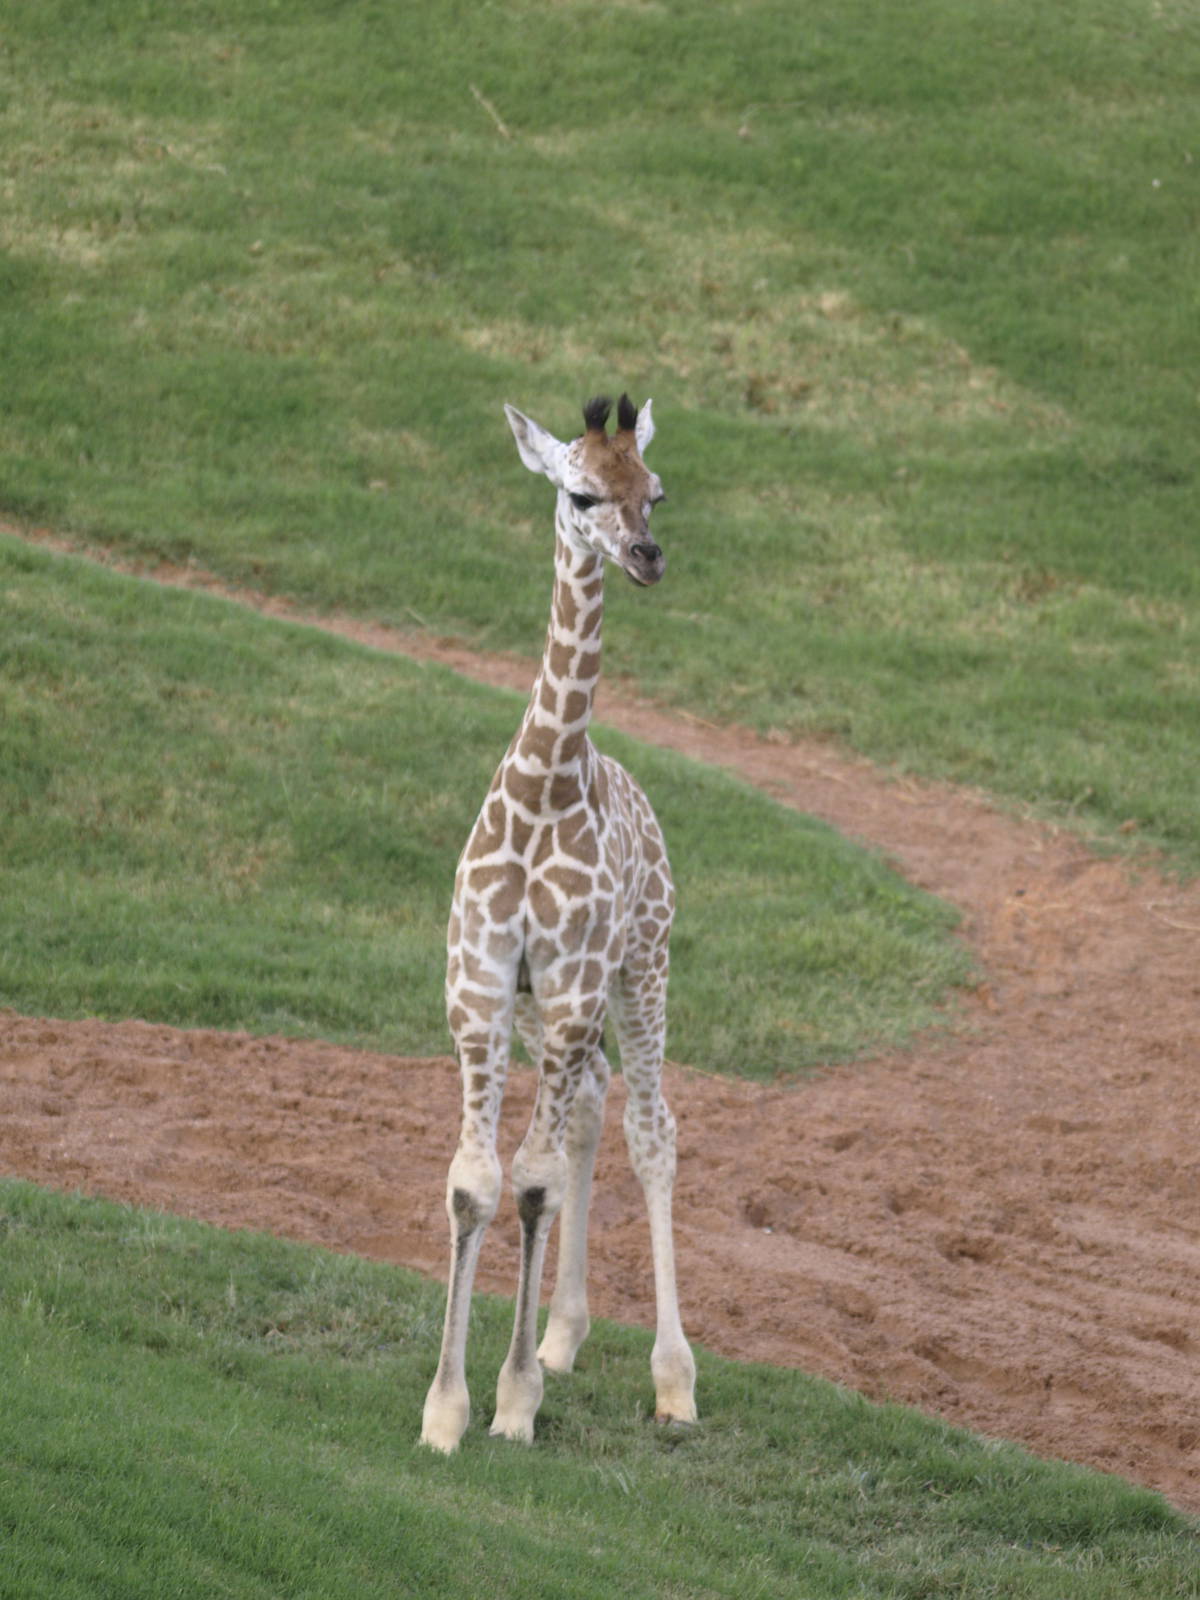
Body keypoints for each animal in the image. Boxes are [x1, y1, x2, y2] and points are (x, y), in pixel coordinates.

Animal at [420, 393, 697, 1452]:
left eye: (655, 489)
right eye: (581, 493)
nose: (647, 555)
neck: (548, 788)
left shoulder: (579, 985)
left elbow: (530, 1183)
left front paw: (509, 1406)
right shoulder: (484, 987)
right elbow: (476, 1182)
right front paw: (446, 1410)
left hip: (644, 966)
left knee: (652, 1129)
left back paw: (674, 1381)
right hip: (553, 1015)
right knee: (590, 1107)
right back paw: (563, 1337)